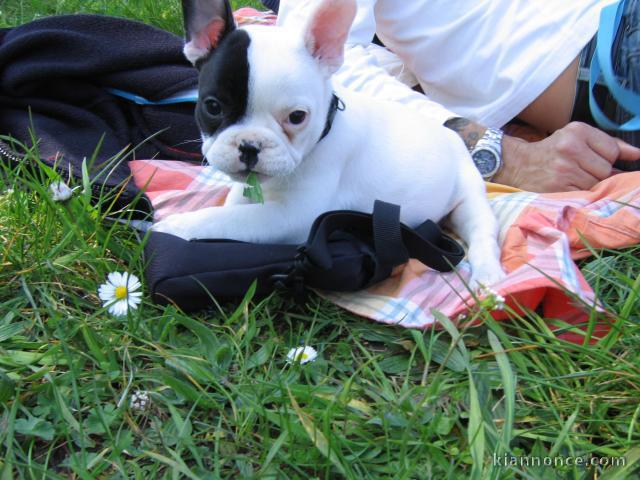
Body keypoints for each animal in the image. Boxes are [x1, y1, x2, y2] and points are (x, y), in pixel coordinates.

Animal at [155, 0, 504, 286]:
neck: (324, 130)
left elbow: (227, 219)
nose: (250, 145)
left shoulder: (290, 217)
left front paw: (176, 226)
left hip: (469, 194)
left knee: (481, 229)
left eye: (297, 117)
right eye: (212, 106)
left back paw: (489, 274)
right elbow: (235, 203)